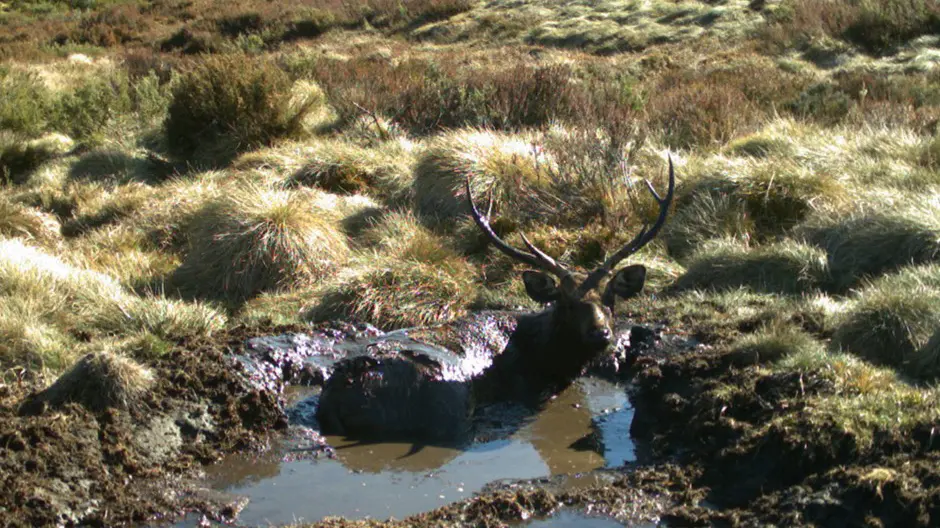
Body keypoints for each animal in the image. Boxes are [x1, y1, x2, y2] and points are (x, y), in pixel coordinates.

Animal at [316, 158, 675, 442]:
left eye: (610, 297)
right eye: (565, 302)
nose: (600, 333)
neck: (550, 360)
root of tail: (338, 395)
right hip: (445, 403)